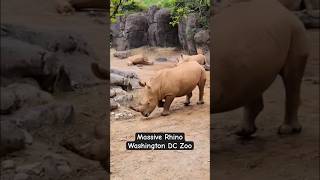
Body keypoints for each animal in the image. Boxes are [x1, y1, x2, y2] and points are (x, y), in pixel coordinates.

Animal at [212, 0, 310, 136]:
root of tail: (283, 8)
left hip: (295, 30)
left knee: (292, 77)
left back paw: (287, 130)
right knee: (251, 81)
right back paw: (244, 132)